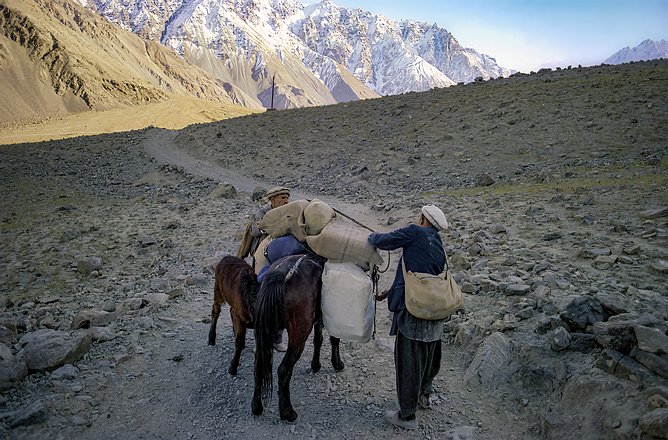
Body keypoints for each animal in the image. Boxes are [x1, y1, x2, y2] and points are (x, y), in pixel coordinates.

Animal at [250, 254, 344, 422]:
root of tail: (281, 275)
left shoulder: (318, 318)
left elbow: (318, 339)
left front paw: (316, 365)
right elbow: (334, 339)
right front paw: (337, 364)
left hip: (264, 330)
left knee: (258, 364)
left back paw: (257, 407)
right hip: (298, 334)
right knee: (283, 370)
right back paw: (288, 412)